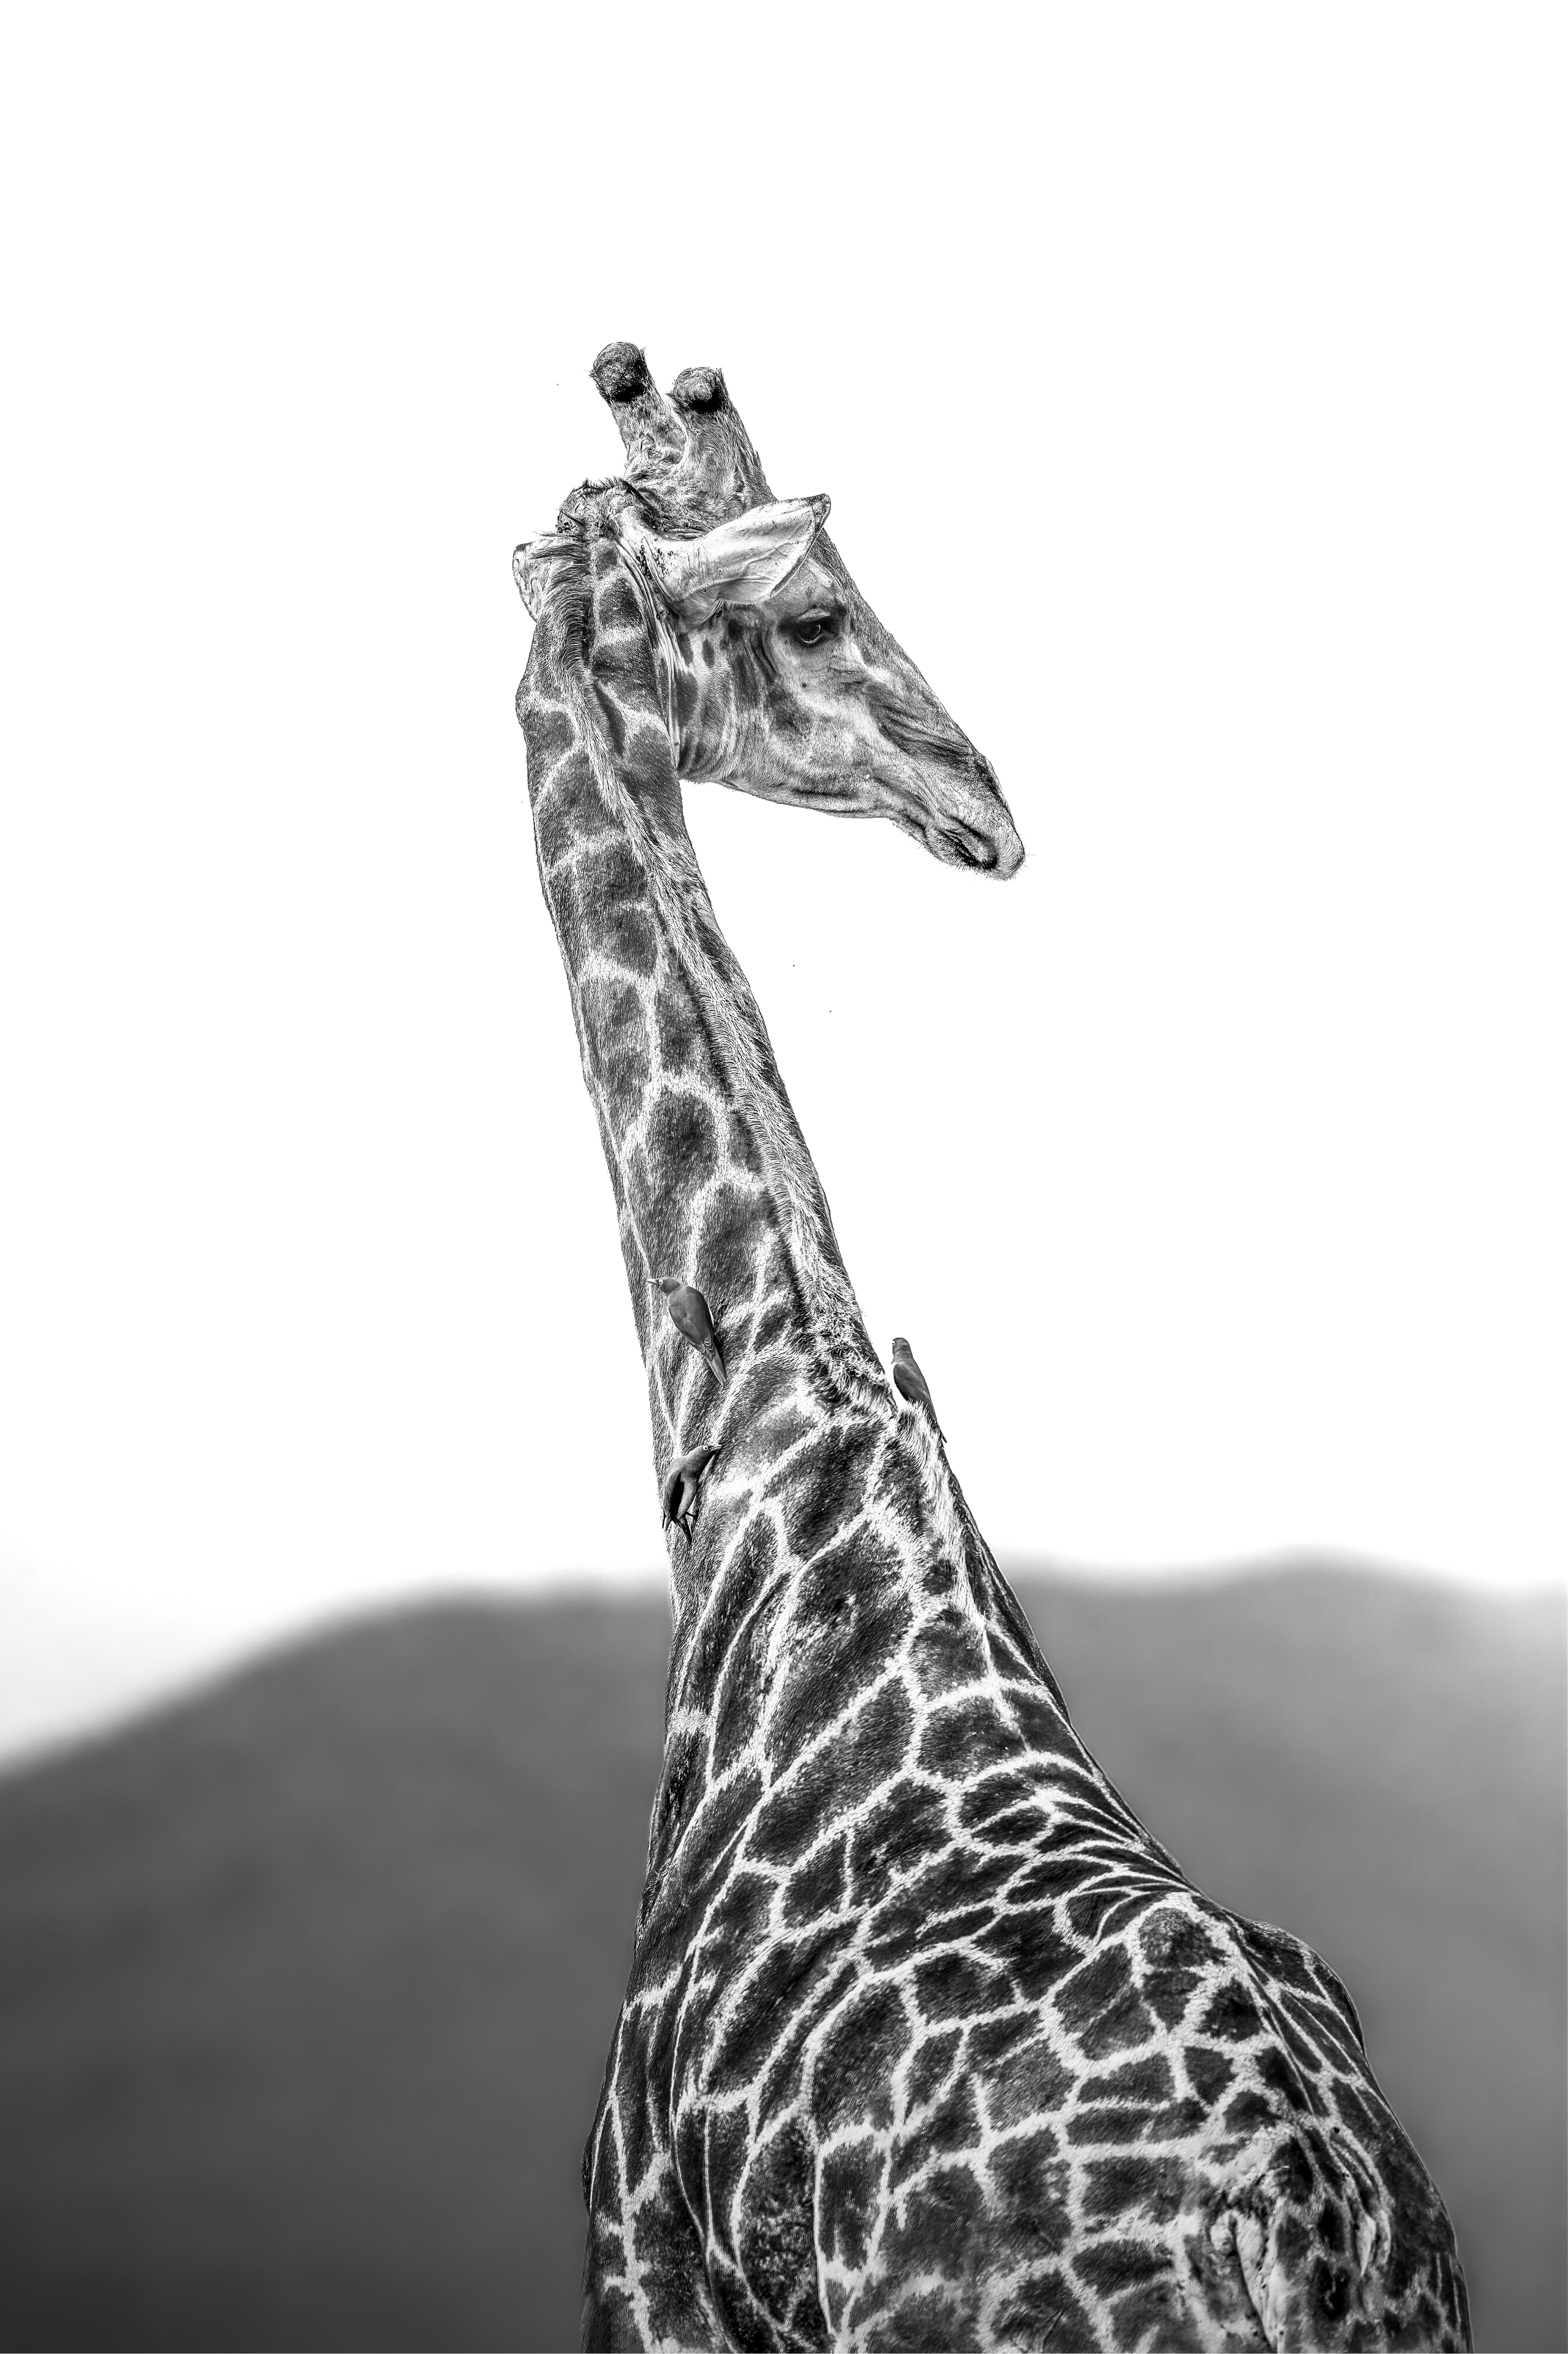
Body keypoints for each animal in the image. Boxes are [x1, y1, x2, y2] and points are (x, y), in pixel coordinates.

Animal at [513, 345, 1470, 2352]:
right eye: (812, 611)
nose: (986, 798)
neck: (762, 1431)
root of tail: (1304, 2217)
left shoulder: (644, 2274)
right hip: (1430, 2306)